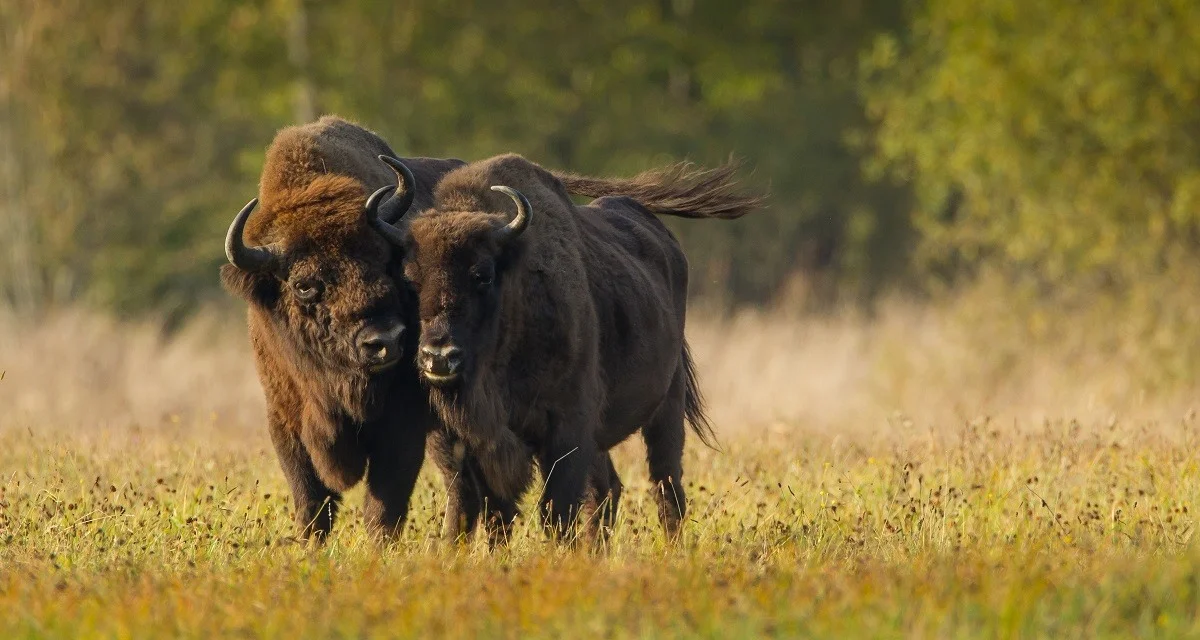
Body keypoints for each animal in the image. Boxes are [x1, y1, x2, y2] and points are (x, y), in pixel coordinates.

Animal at [216, 115, 463, 537]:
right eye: (304, 285)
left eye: (387, 260)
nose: (386, 341)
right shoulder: (286, 422)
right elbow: (312, 506)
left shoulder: (403, 425)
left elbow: (384, 508)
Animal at [367, 152, 758, 535]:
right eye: (410, 278)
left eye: (483, 274)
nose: (439, 357)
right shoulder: (482, 443)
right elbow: (499, 513)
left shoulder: (567, 428)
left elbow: (556, 510)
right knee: (608, 489)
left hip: (667, 406)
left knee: (665, 487)